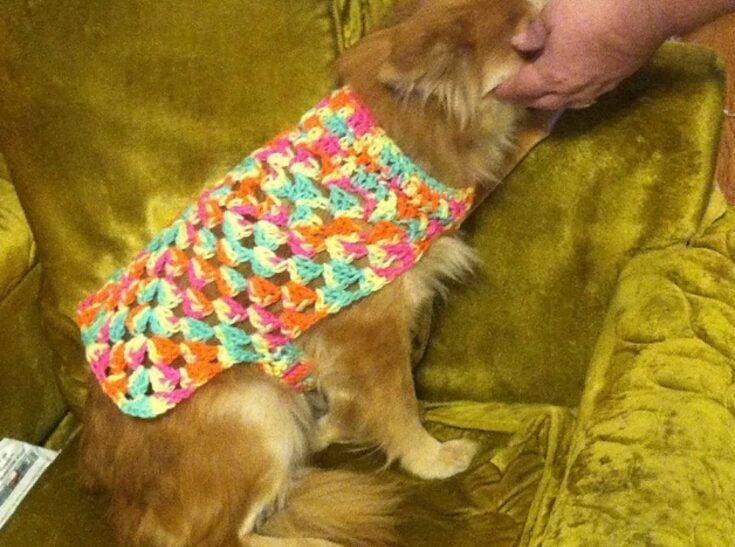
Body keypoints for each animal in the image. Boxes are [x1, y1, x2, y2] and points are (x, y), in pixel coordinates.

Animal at [78, 1, 541, 545]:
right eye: (532, 42)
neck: (395, 133)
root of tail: (120, 504)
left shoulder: (337, 344)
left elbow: (349, 396)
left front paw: (338, 424)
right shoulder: (370, 333)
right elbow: (399, 405)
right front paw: (429, 458)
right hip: (257, 407)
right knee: (224, 537)